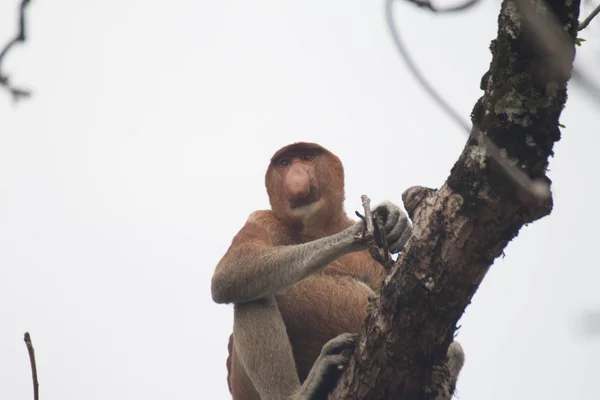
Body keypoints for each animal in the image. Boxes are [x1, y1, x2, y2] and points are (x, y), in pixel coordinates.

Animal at [211, 142, 464, 398]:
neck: (315, 228)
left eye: (307, 157)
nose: (297, 177)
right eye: (285, 163)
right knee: (251, 297)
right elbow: (229, 274)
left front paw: (394, 220)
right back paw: (302, 391)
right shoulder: (261, 219)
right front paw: (363, 229)